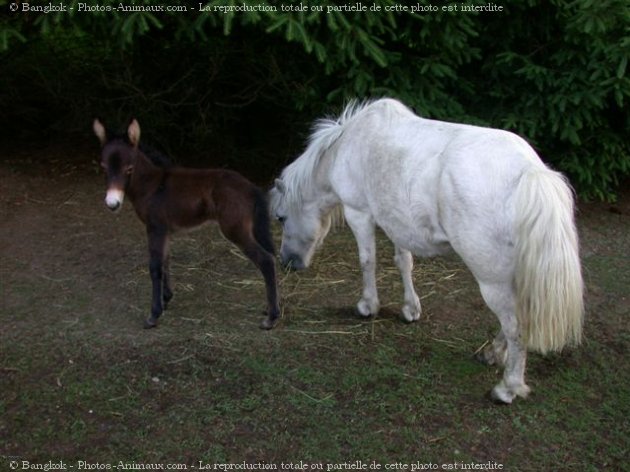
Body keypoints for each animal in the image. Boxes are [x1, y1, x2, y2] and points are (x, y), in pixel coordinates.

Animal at [272, 97, 588, 404]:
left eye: (281, 217)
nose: (287, 262)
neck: (347, 145)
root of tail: (530, 173)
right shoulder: (396, 221)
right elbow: (403, 262)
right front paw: (410, 309)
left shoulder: (358, 213)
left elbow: (367, 261)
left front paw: (368, 305)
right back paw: (491, 354)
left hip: (493, 281)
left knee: (515, 327)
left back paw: (507, 388)